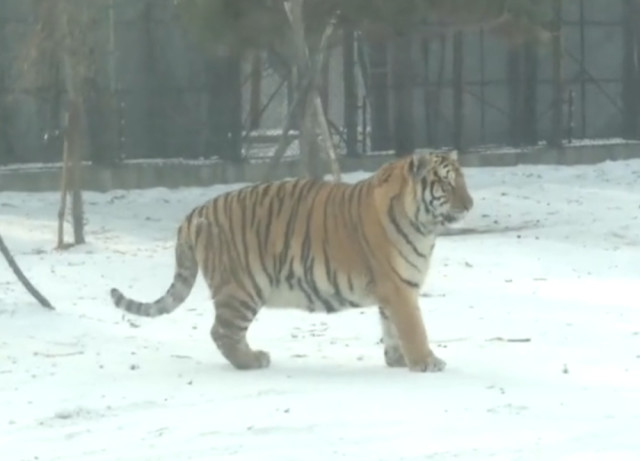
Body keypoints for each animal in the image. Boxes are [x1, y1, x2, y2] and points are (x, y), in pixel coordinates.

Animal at [110, 149, 474, 372]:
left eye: (463, 180)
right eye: (445, 182)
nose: (470, 204)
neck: (424, 226)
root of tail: (195, 211)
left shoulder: (395, 290)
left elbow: (392, 328)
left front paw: (398, 359)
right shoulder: (398, 288)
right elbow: (414, 328)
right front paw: (427, 361)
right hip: (241, 289)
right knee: (222, 332)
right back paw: (253, 360)